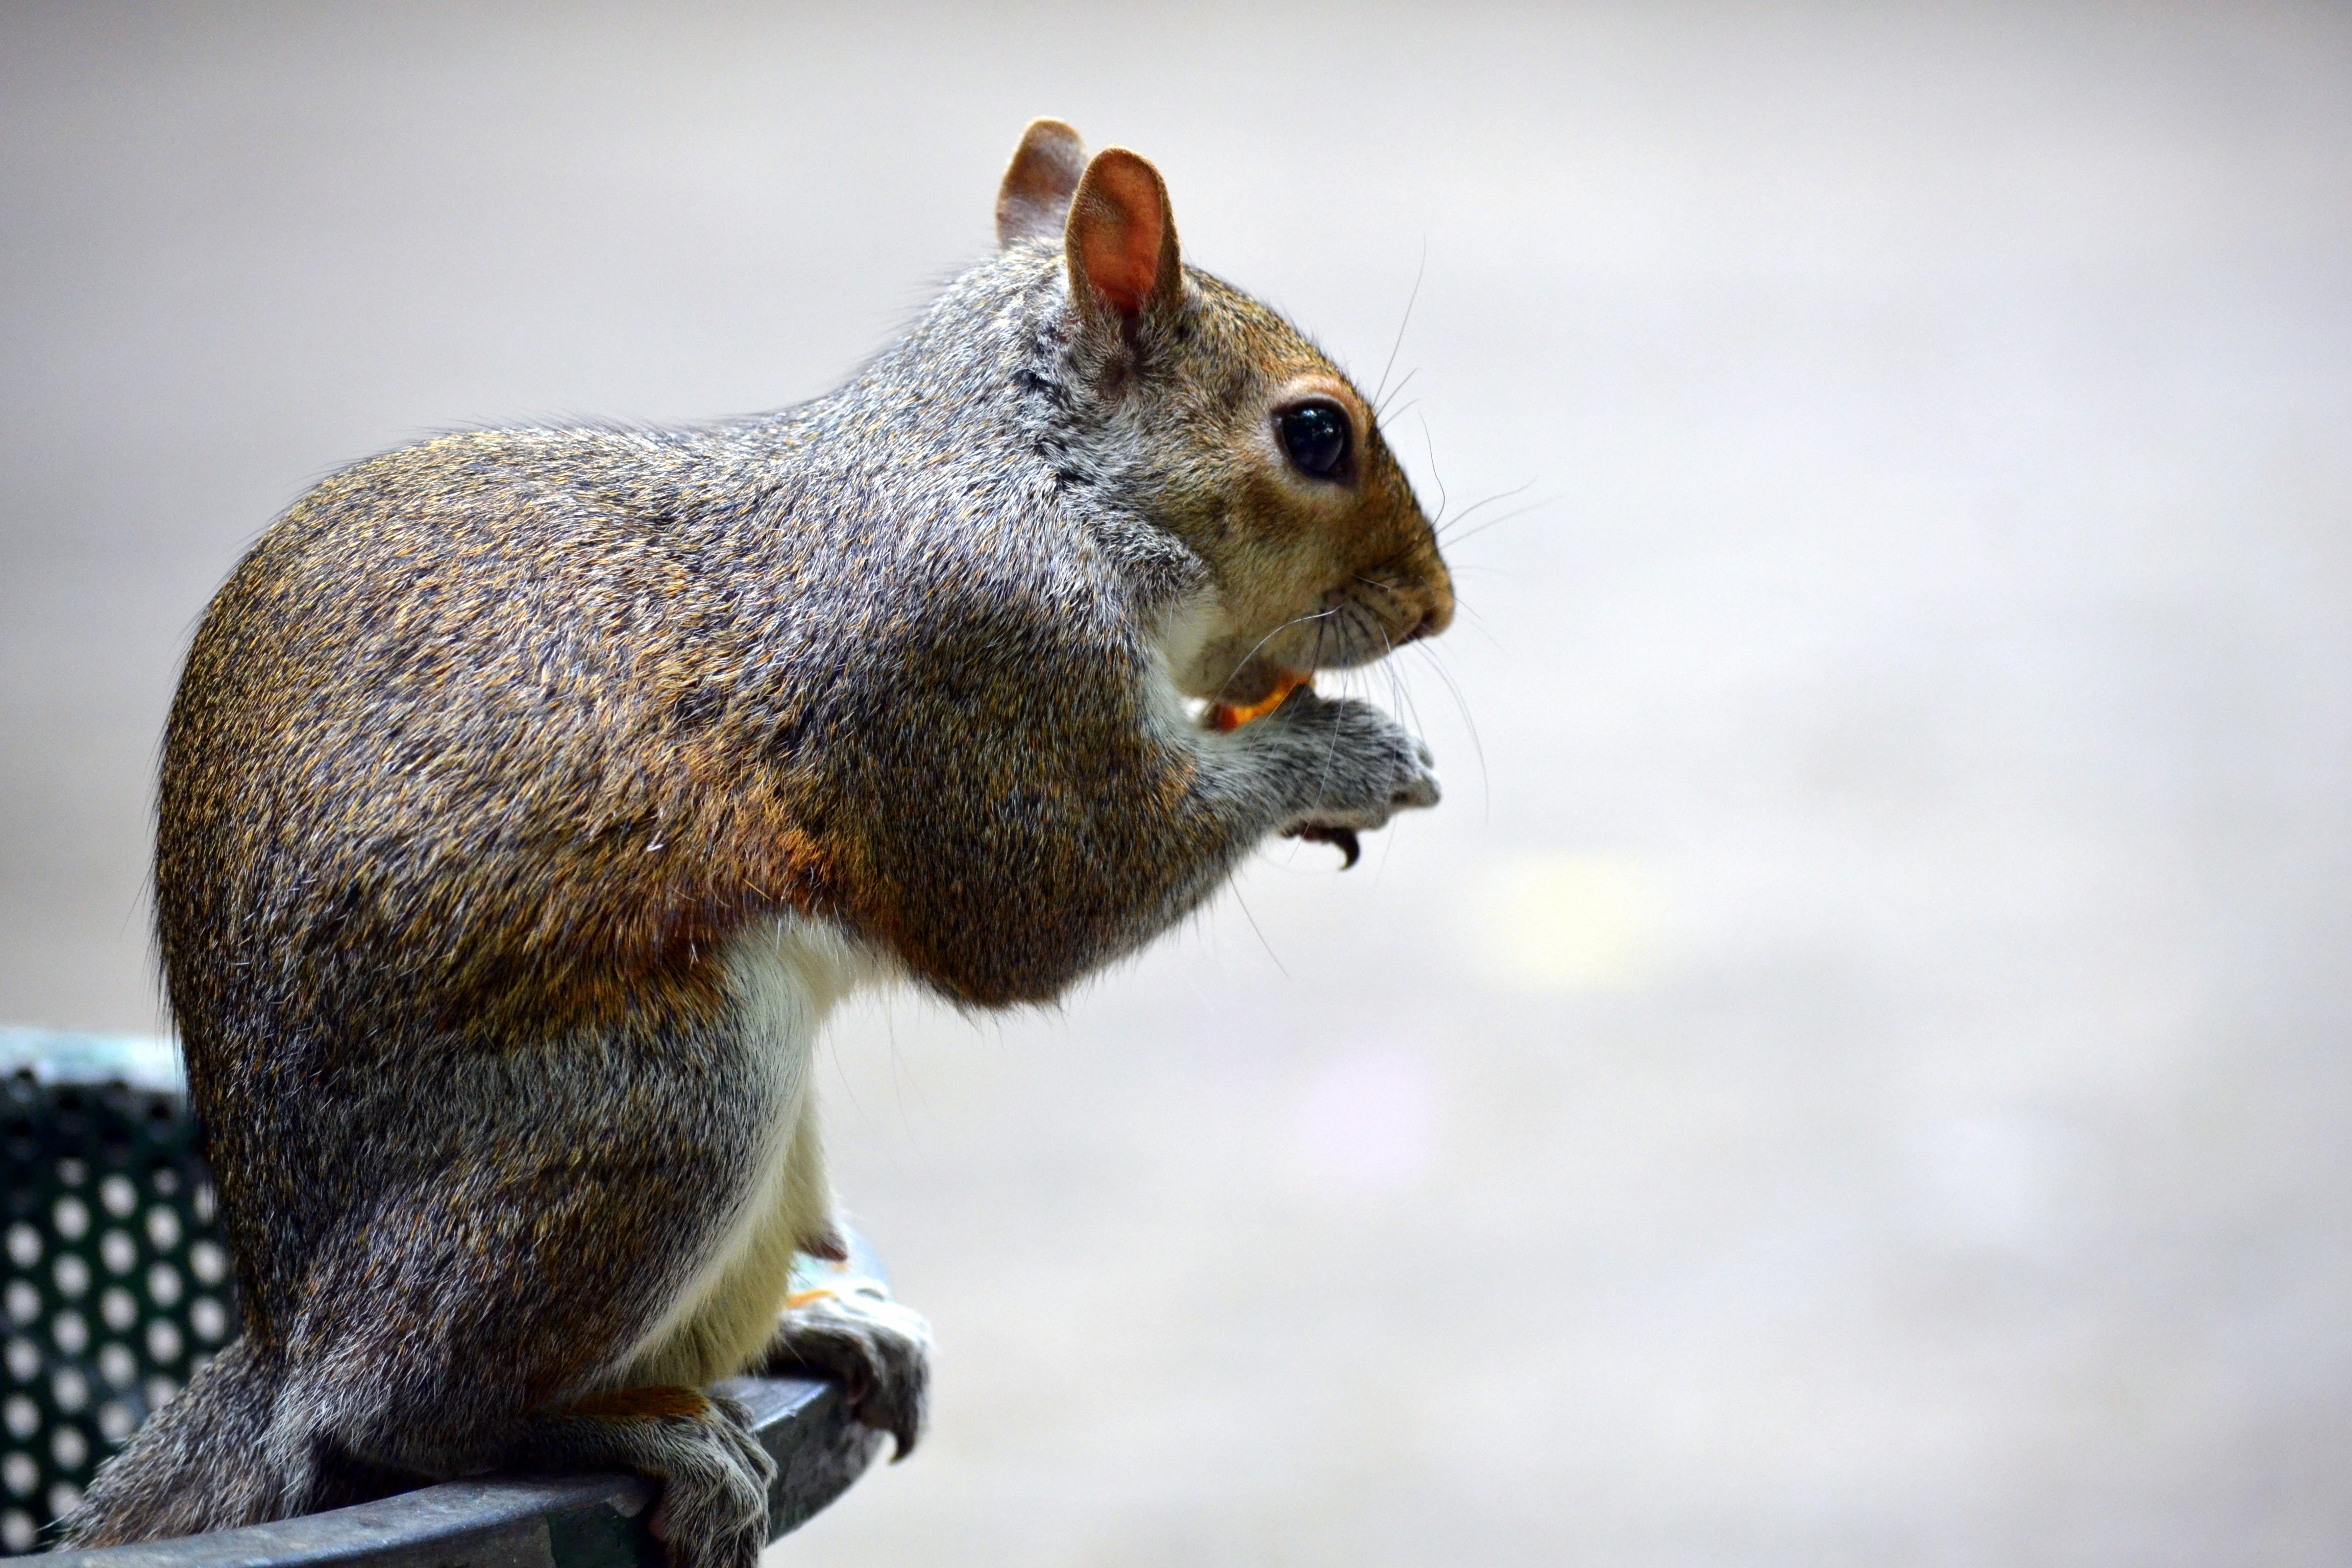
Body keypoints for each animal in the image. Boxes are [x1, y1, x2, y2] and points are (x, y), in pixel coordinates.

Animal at [59, 126, 1449, 1568]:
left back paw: (818, 1329)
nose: (1436, 603)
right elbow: (1045, 901)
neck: (1036, 476)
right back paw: (632, 1432)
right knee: (388, 1422)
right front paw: (1343, 759)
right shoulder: (981, 667)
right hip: (666, 1097)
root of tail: (289, 1336)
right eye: (1314, 432)